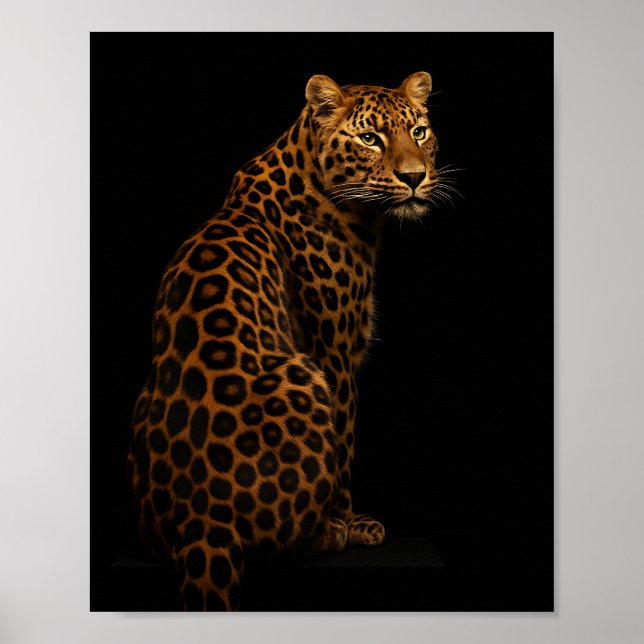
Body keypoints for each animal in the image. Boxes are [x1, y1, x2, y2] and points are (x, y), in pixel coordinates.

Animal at [128, 71, 443, 611]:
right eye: (370, 138)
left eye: (419, 132)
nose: (414, 177)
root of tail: (202, 522)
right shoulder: (335, 351)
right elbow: (345, 442)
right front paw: (351, 522)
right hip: (301, 373)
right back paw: (329, 533)